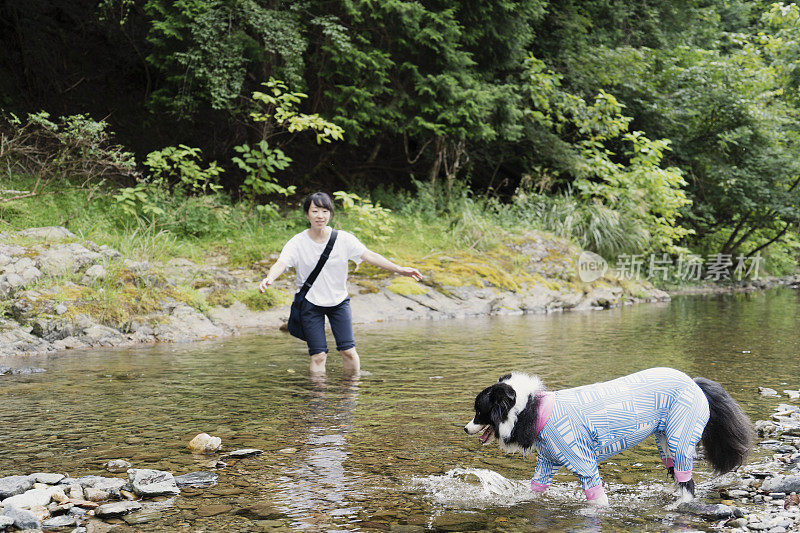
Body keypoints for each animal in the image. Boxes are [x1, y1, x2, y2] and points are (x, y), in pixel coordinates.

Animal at [466, 368, 752, 504]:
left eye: (479, 411)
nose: (465, 428)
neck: (531, 409)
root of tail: (695, 383)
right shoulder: (546, 463)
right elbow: (535, 488)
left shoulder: (583, 461)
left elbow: (597, 498)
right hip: (664, 441)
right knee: (677, 474)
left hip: (680, 435)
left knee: (687, 480)